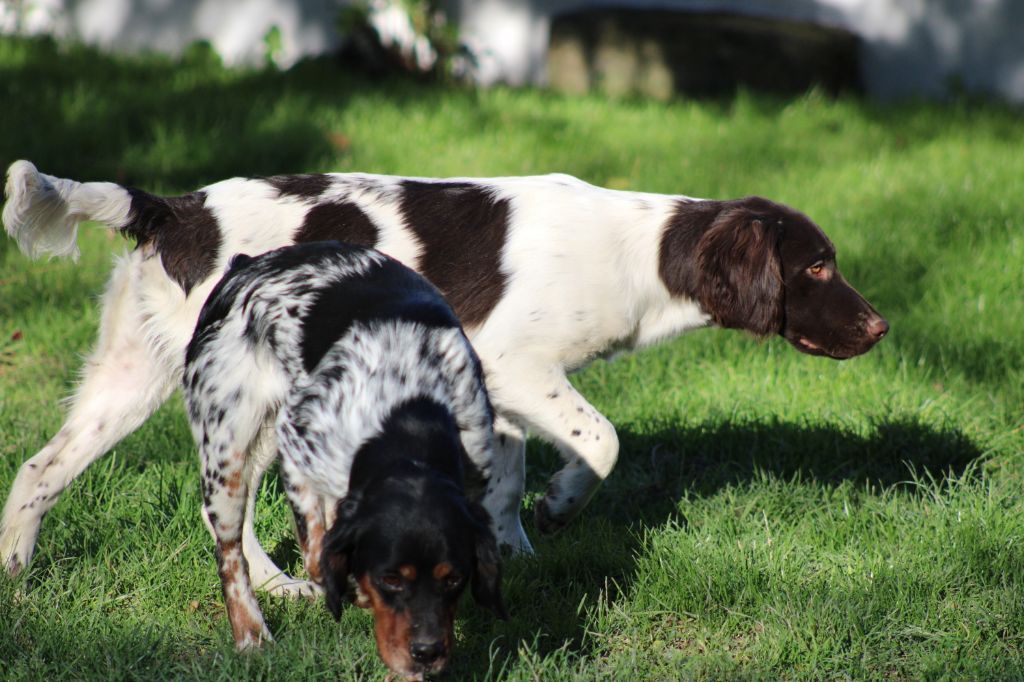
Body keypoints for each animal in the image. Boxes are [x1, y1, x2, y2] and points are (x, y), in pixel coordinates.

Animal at [0, 160, 884, 589]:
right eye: (816, 267)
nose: (879, 327)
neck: (638, 251)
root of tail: (174, 209)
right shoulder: (515, 363)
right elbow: (601, 440)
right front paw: (560, 508)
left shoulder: (501, 387)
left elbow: (507, 473)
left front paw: (515, 550)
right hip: (258, 396)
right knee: (226, 505)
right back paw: (281, 588)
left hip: (134, 377)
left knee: (41, 468)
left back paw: (17, 573)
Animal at [186, 240, 505, 675]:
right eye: (391, 579)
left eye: (454, 579)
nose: (427, 653)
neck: (408, 409)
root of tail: (244, 266)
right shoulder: (298, 442)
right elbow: (318, 557)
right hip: (227, 452)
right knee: (230, 554)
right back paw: (251, 634)